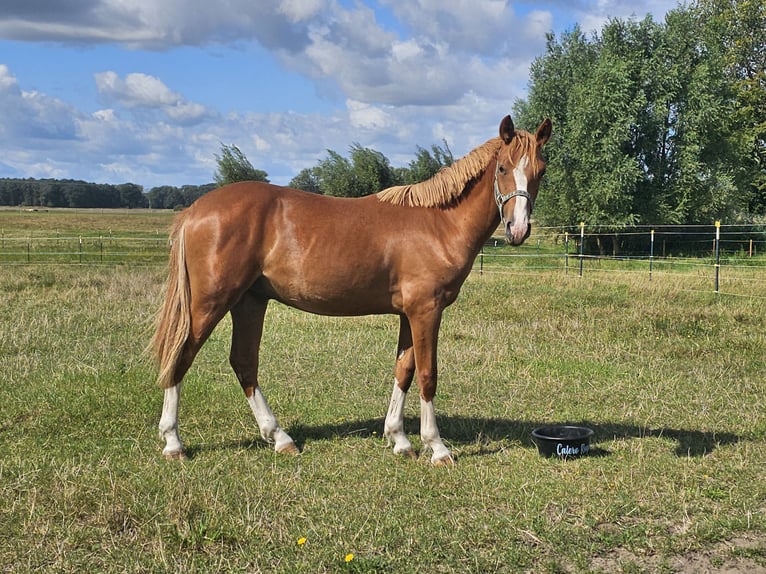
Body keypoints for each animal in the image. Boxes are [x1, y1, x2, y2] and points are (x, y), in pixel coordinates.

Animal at [150, 116, 552, 468]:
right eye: (503, 168)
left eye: (540, 171)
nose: (518, 229)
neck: (439, 223)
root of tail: (196, 209)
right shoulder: (426, 310)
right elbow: (427, 374)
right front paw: (436, 447)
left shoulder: (409, 313)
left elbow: (404, 369)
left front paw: (399, 439)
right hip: (211, 302)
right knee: (181, 356)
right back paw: (173, 443)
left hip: (250, 302)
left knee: (244, 363)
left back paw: (280, 438)